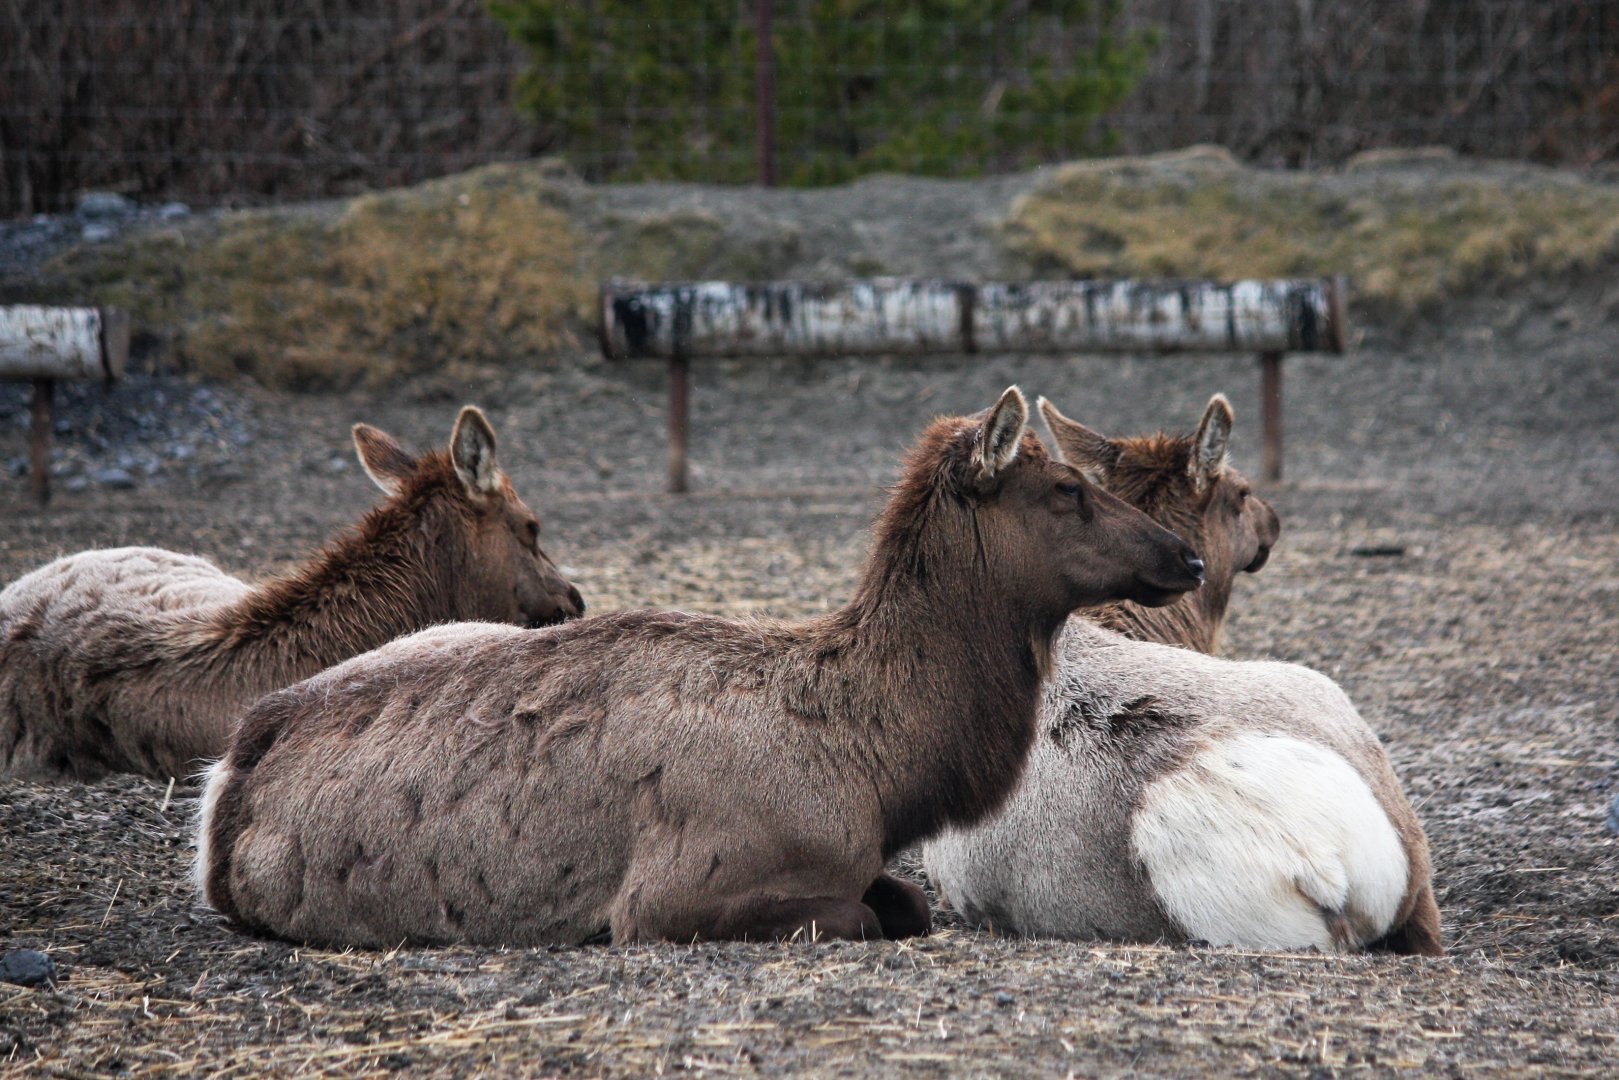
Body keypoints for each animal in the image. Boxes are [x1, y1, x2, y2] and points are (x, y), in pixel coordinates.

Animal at [195, 388, 1208, 948]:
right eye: (1068, 490)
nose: (1188, 557)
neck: (879, 771)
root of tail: (233, 770)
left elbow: (904, 902)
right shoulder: (674, 894)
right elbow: (868, 915)